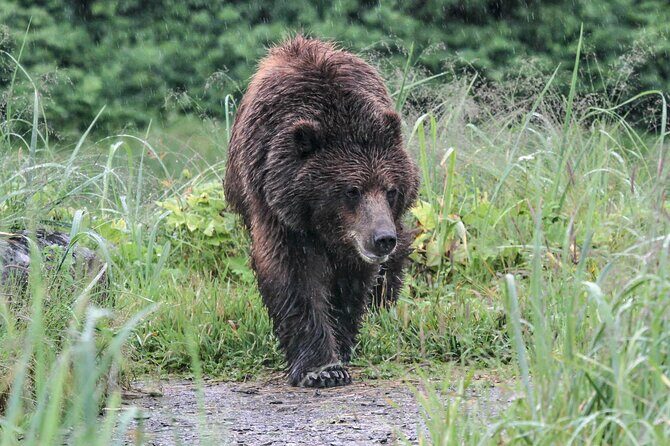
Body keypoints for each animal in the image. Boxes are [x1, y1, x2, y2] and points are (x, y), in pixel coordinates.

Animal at [224, 36, 419, 388]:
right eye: (352, 190)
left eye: (390, 189)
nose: (382, 239)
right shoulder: (277, 209)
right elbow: (294, 277)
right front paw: (322, 368)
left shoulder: (357, 236)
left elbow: (349, 282)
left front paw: (340, 346)